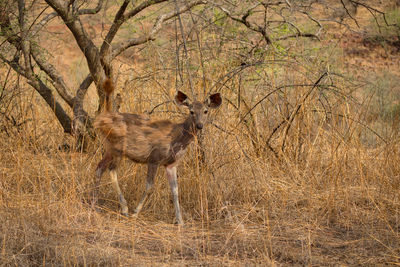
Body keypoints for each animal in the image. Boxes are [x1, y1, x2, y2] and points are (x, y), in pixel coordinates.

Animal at [93, 78, 222, 225]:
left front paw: (180, 221)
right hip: (117, 148)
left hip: (111, 149)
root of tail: (100, 120)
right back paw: (124, 209)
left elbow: (175, 190)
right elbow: (150, 187)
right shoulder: (154, 158)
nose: (199, 125)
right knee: (111, 169)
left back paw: (95, 204)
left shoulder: (171, 164)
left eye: (206, 111)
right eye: (191, 111)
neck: (177, 139)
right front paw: (135, 213)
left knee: (99, 167)